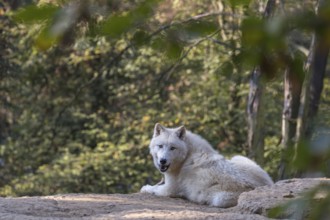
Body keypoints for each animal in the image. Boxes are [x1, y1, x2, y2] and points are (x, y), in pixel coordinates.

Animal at [139, 124, 274, 208]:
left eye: (173, 148)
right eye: (160, 146)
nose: (163, 161)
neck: (187, 156)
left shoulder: (169, 189)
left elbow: (151, 189)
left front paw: (146, 187)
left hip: (220, 199)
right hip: (238, 157)